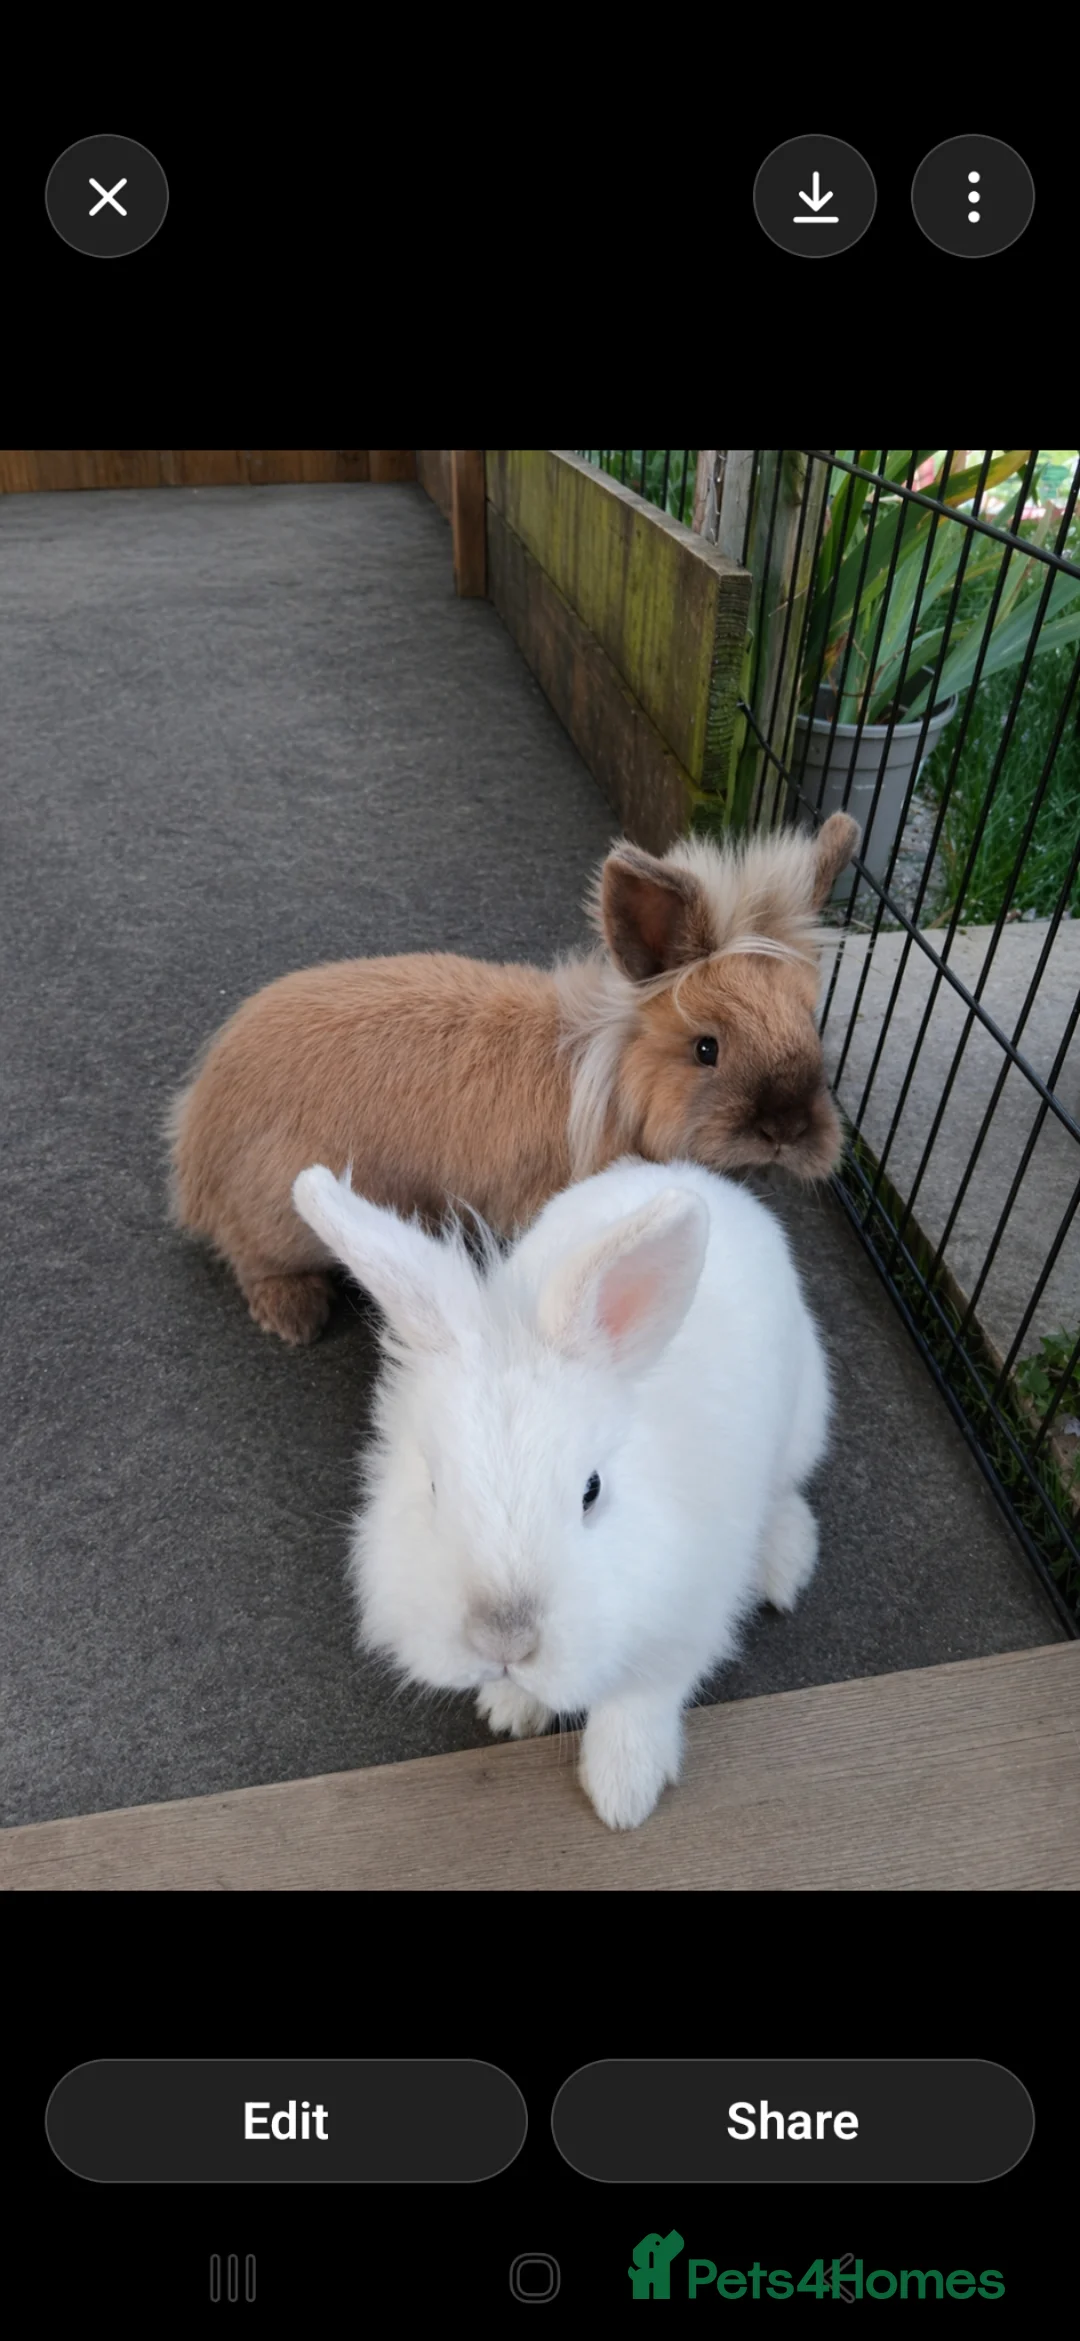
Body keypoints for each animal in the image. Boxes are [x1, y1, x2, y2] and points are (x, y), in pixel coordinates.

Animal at [168, 811, 858, 1347]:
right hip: (282, 1216)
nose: (787, 1129)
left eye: (810, 1025)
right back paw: (294, 1315)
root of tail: (195, 1142)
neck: (609, 1080)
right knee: (251, 1258)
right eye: (706, 1049)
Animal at [291, 1152, 831, 1832]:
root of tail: (695, 1174)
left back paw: (783, 1567)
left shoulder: (684, 1617)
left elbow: (641, 1699)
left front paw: (623, 1791)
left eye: (591, 1491)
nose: (504, 1641)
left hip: (805, 1418)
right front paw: (508, 1706)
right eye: (435, 1485)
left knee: (789, 1493)